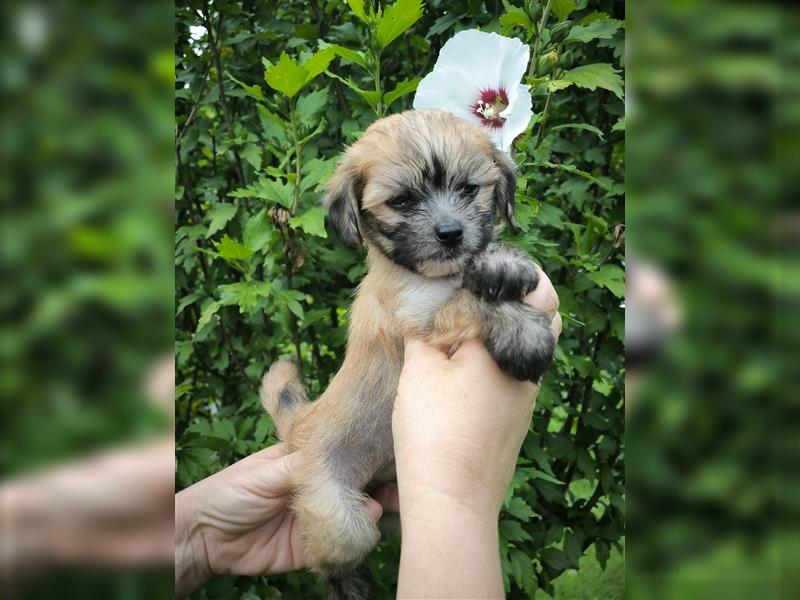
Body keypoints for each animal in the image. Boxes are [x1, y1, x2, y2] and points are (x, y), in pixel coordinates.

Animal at [262, 108, 556, 596]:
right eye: (401, 202)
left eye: (468, 189)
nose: (451, 234)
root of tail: (300, 425)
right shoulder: (423, 319)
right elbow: (469, 303)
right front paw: (526, 335)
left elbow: (481, 272)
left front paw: (503, 262)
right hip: (342, 517)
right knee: (330, 560)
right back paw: (350, 586)